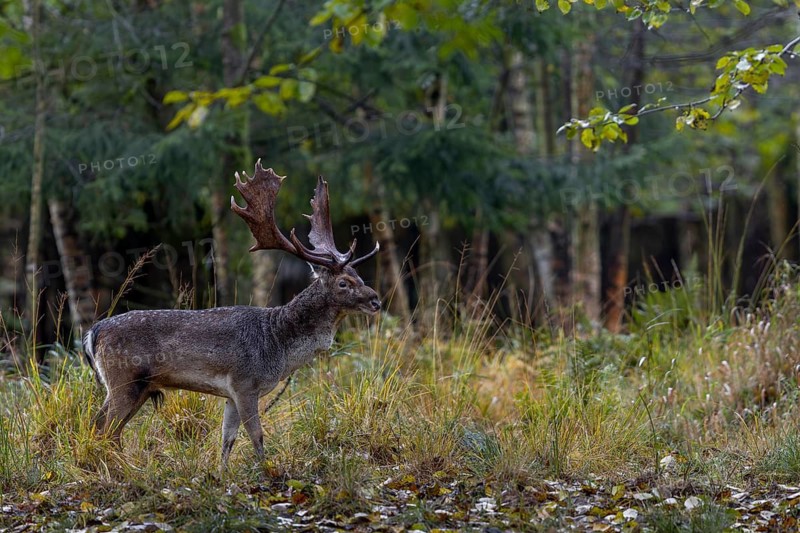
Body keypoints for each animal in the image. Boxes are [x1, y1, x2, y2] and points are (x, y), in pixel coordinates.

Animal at [82, 160, 381, 467]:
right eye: (344, 283)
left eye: (358, 275)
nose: (376, 301)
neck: (277, 346)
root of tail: (93, 333)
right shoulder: (244, 382)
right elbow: (256, 435)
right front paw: (266, 471)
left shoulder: (230, 393)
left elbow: (227, 439)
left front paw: (222, 473)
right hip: (125, 378)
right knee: (103, 428)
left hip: (138, 386)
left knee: (104, 428)